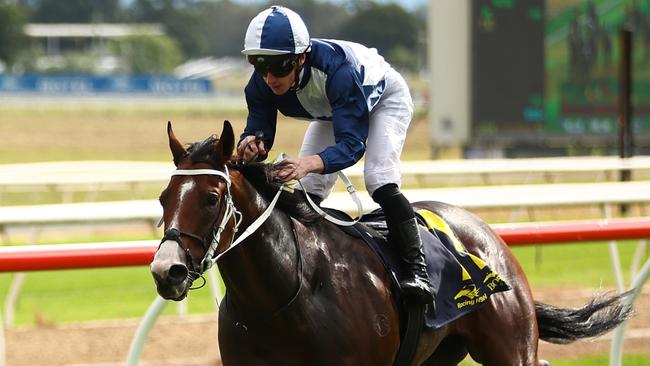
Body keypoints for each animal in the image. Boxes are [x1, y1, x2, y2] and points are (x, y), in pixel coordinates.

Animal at [151, 121, 628, 364]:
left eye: (212, 198)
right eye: (163, 198)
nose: (165, 271)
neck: (283, 296)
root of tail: (488, 234)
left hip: (511, 351)